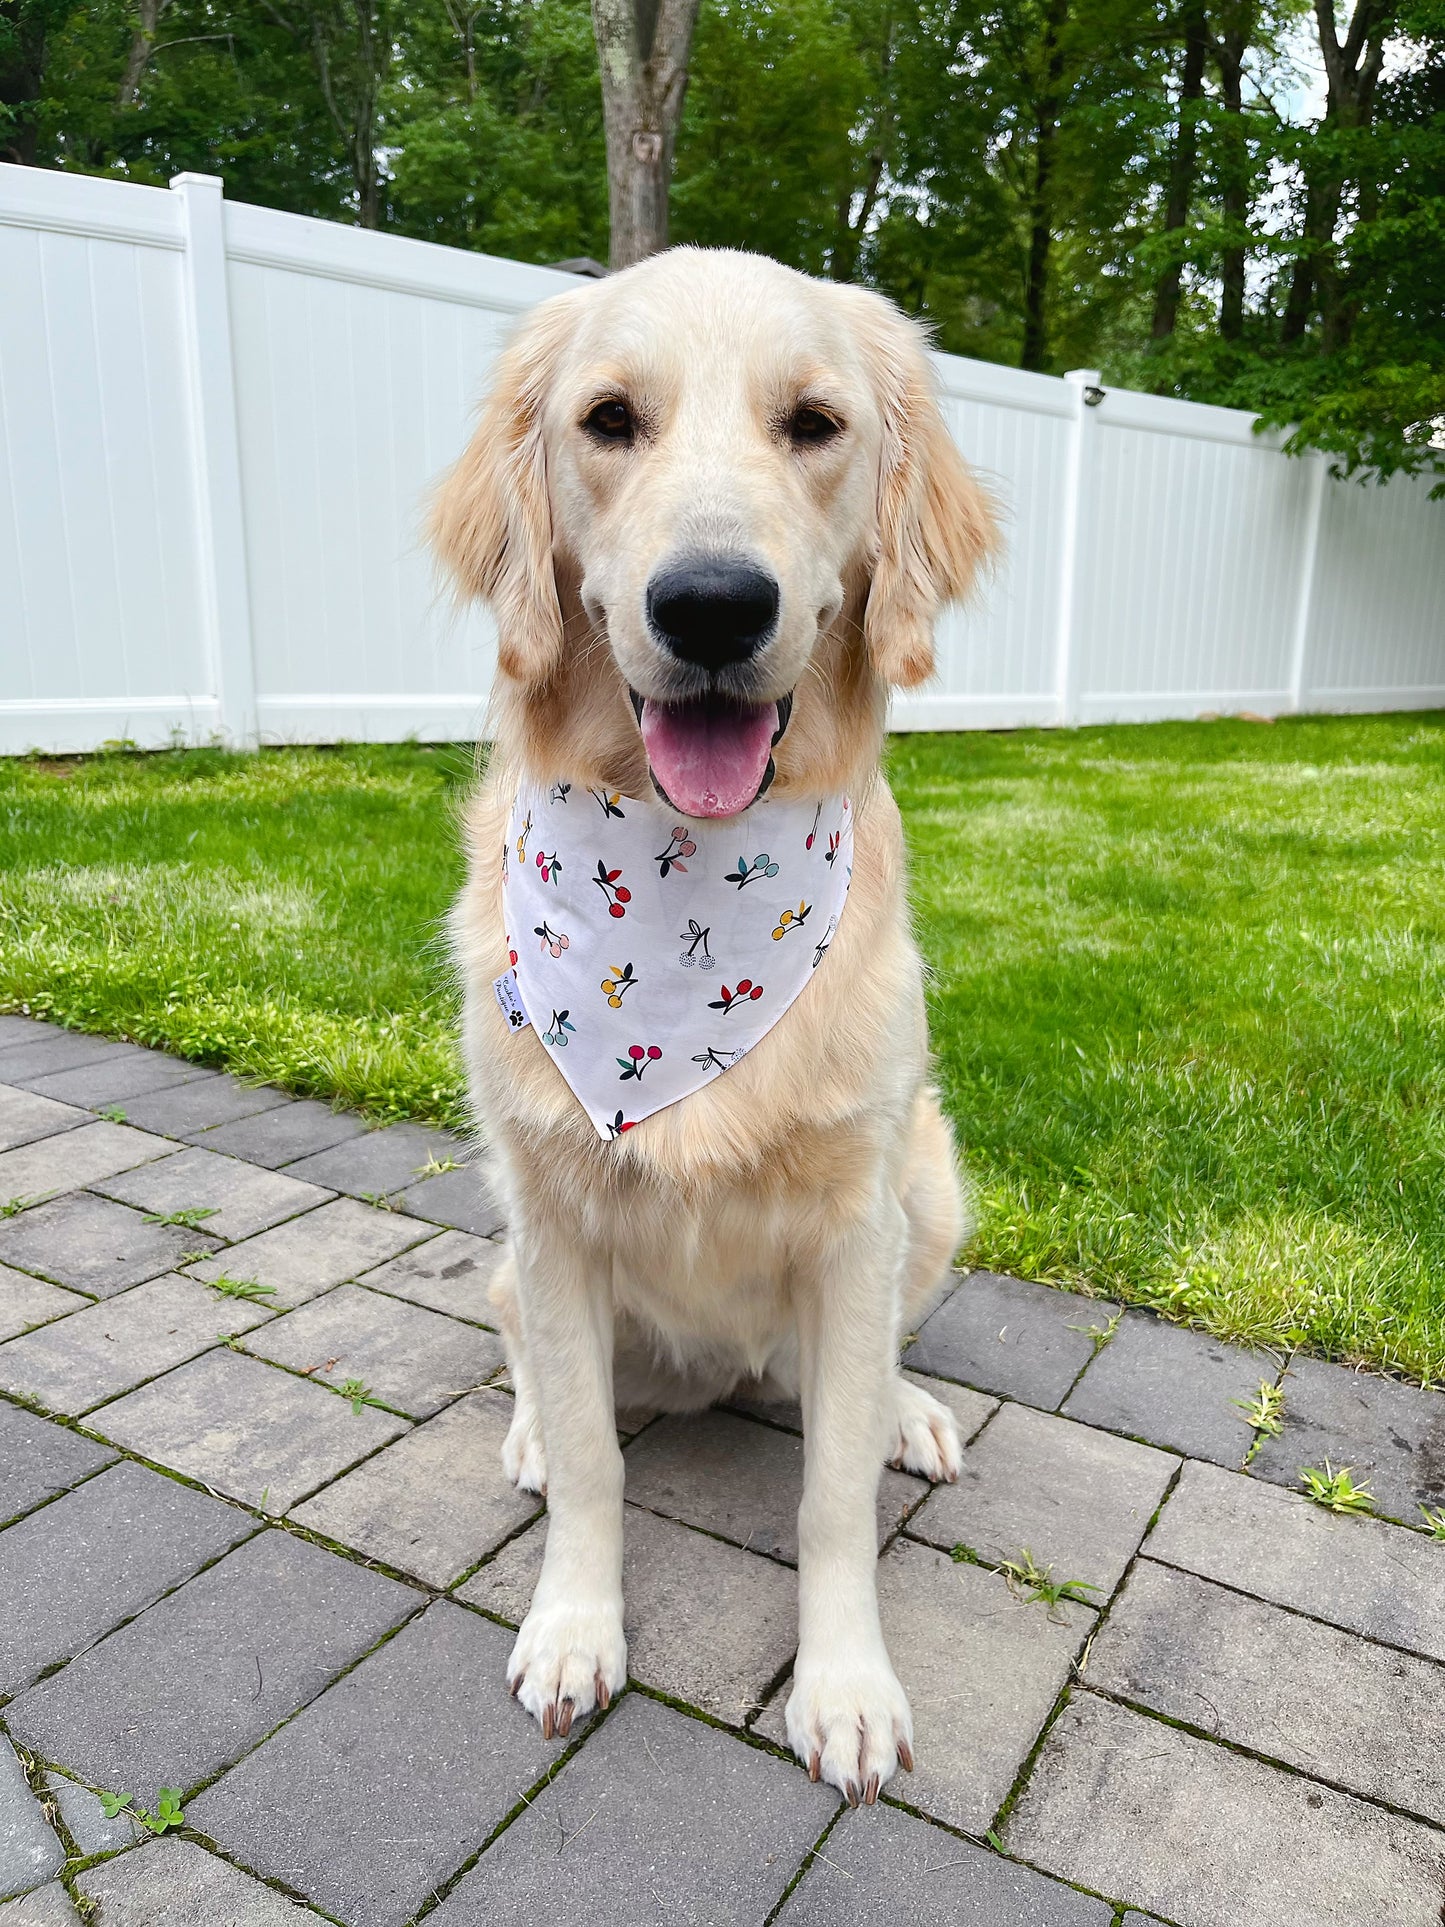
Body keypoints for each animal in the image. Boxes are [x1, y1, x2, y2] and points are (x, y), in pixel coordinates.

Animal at [435, 252, 1001, 1803]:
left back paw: (907, 1410)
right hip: (511, 1245)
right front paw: (573, 1626)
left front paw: (845, 1684)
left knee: (860, 1370)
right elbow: (590, 1459)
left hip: (931, 1182)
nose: (708, 606)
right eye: (607, 420)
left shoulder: (856, 1215)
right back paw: (523, 1428)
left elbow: (830, 1496)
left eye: (813, 423)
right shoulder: (553, 1215)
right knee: (528, 1355)